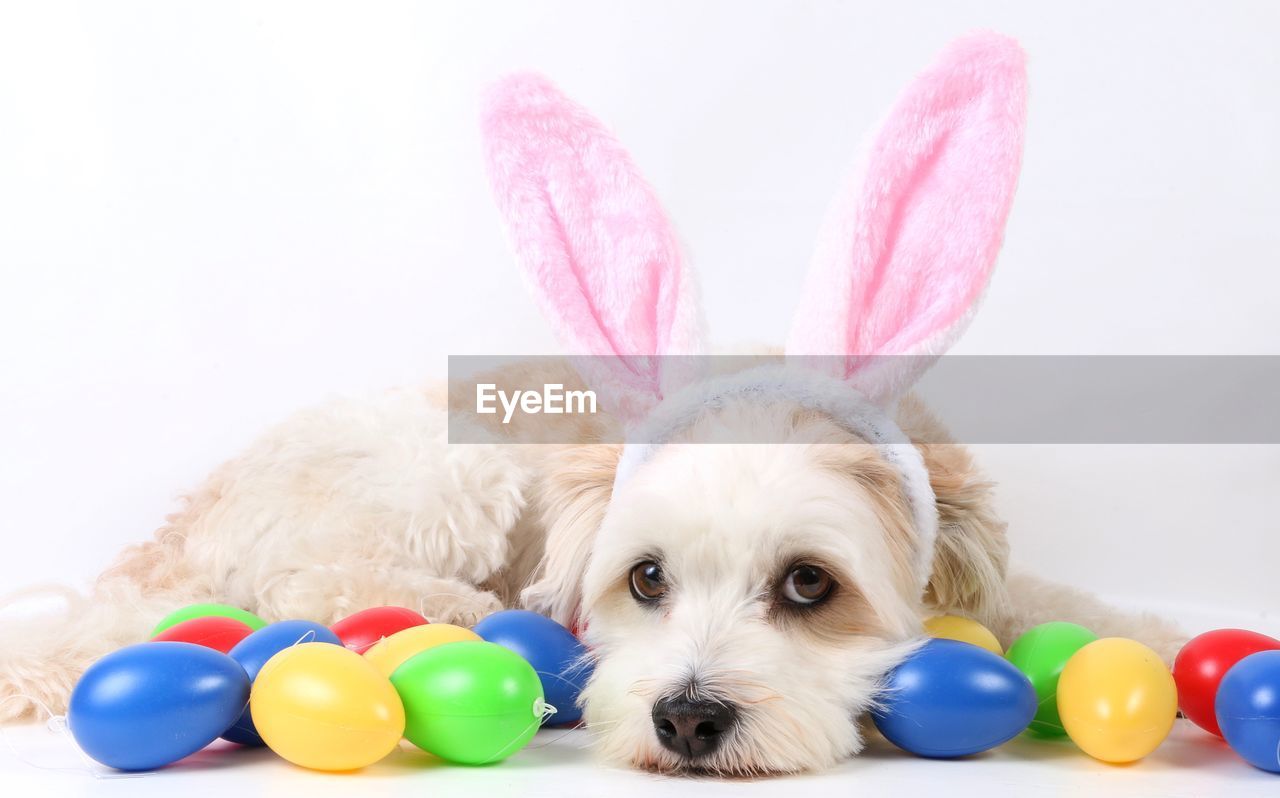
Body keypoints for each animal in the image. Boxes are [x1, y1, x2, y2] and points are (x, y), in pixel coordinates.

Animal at [0, 34, 1177, 778]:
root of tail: (184, 522)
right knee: (317, 575)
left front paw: (1158, 640)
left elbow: (1059, 602)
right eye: (646, 580)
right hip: (450, 461)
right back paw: (450, 609)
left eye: (809, 584)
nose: (690, 719)